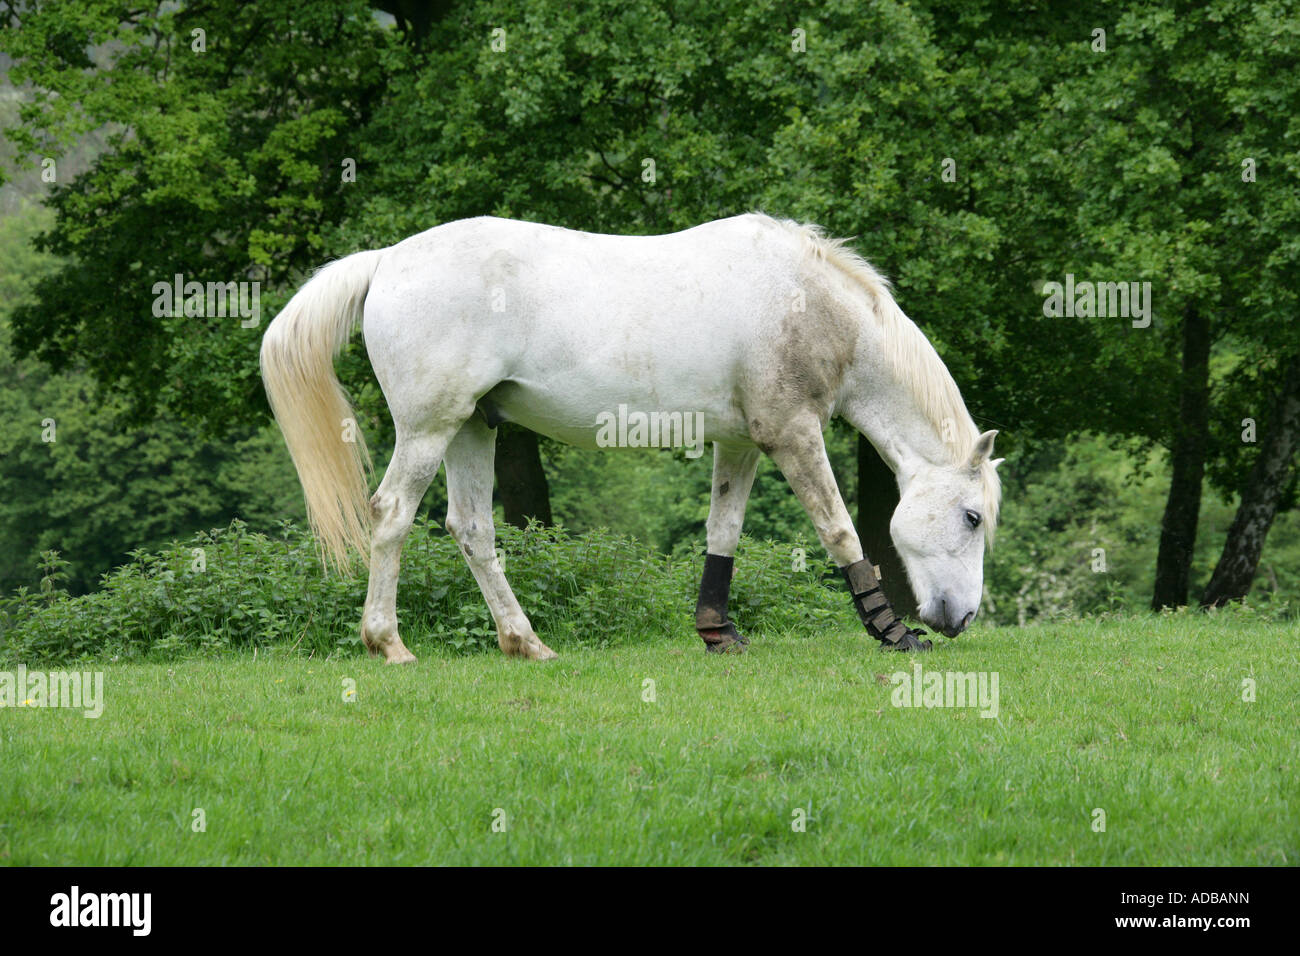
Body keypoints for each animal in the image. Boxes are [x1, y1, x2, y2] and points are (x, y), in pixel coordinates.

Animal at [260, 213, 1003, 662]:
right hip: (430, 428)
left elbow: (723, 531)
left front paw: (718, 632)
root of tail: (388, 260)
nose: (959, 618)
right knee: (391, 515)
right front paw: (892, 633)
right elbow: (841, 533)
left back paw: (525, 643)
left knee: (471, 529)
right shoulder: (793, 436)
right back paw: (388, 644)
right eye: (971, 517)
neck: (809, 302)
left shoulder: (739, 444)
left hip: (471, 427)